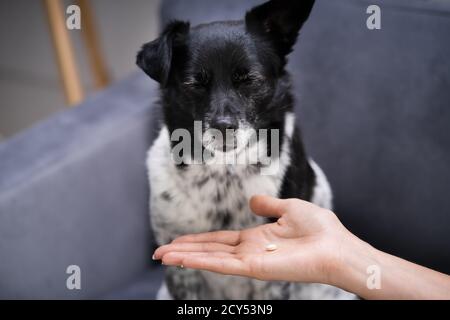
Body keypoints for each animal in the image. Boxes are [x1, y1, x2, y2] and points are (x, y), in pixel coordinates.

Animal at [137, 0, 356, 300]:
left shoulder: (274, 274)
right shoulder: (178, 262)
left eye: (249, 79)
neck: (223, 172)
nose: (223, 126)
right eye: (194, 84)